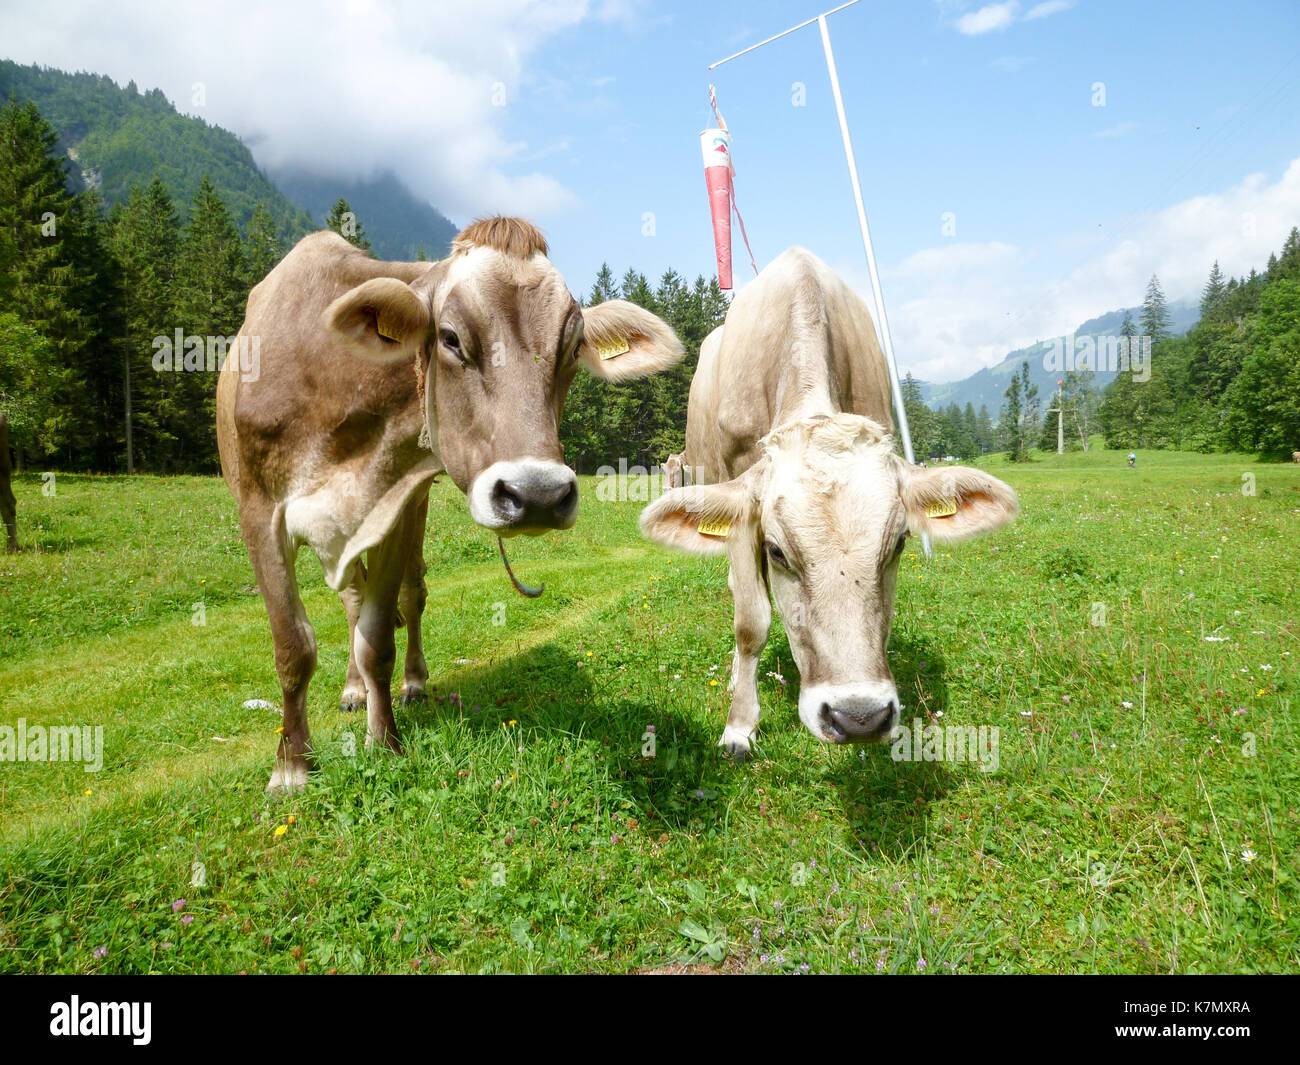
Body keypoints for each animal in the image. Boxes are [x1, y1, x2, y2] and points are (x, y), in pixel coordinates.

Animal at [218, 218, 684, 791]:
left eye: (573, 348)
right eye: (451, 338)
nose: (538, 495)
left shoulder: (394, 509)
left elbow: (378, 637)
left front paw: (384, 742)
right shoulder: (257, 510)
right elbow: (293, 647)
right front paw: (290, 766)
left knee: (409, 595)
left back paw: (413, 684)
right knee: (351, 599)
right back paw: (351, 691)